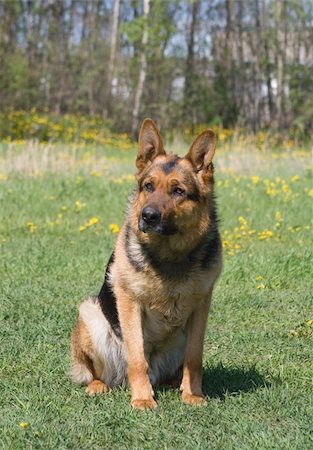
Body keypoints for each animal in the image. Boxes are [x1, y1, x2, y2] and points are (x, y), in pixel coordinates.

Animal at [70, 118, 222, 410]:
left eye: (178, 191)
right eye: (148, 187)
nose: (148, 216)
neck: (169, 256)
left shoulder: (202, 306)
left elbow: (194, 358)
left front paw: (193, 394)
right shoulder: (130, 303)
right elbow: (137, 357)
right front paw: (142, 399)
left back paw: (175, 383)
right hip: (90, 314)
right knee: (95, 373)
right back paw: (99, 385)